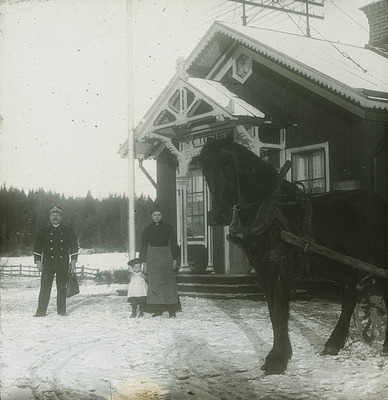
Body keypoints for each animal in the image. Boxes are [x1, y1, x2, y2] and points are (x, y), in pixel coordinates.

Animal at [200, 138, 388, 376]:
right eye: (205, 169)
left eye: (228, 166)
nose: (219, 215)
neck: (269, 213)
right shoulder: (264, 274)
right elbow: (273, 313)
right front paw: (279, 354)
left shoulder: (283, 271)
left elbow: (280, 312)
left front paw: (277, 360)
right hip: (345, 267)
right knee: (349, 301)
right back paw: (333, 343)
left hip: (377, 264)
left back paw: (384, 346)